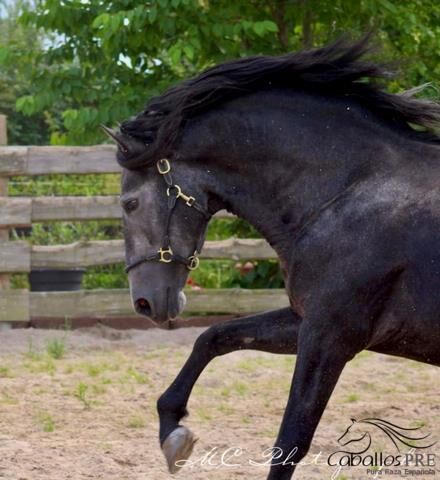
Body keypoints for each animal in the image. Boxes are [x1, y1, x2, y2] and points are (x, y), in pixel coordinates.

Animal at [104, 38, 440, 480]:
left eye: (130, 203)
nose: (143, 303)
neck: (345, 192)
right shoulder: (306, 321)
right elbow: (215, 336)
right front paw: (173, 432)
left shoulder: (330, 336)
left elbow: (291, 440)